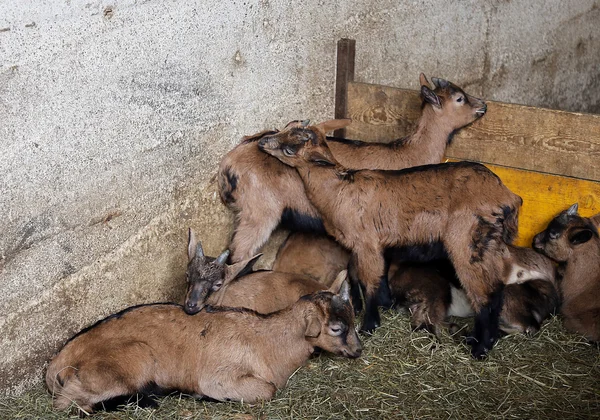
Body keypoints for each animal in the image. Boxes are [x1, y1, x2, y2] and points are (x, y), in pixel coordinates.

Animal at [45, 282, 360, 414]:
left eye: (354, 319)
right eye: (336, 328)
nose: (358, 351)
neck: (266, 341)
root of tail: (60, 360)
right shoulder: (219, 377)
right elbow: (267, 391)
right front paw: (203, 396)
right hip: (133, 359)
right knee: (72, 403)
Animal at [218, 74, 486, 262]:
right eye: (460, 98)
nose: (483, 105)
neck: (411, 151)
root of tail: (229, 162)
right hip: (259, 213)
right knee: (237, 256)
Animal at [260, 120, 524, 360]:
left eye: (289, 149)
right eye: (286, 127)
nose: (262, 141)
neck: (339, 189)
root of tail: (508, 197)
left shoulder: (367, 243)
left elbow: (370, 280)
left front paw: (370, 324)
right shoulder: (363, 245)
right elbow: (358, 274)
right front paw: (376, 305)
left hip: (467, 242)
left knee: (483, 294)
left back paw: (480, 349)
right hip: (490, 244)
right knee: (497, 289)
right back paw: (481, 339)